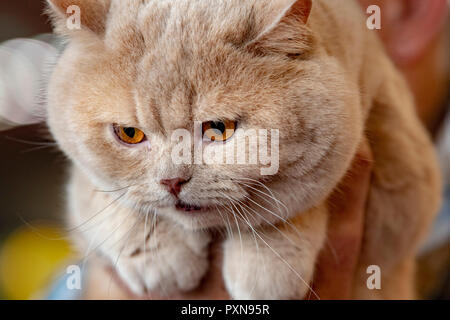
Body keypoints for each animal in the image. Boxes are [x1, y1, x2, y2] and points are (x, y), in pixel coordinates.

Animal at [44, 0, 442, 300]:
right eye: (129, 134)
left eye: (219, 129)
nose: (172, 181)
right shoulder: (84, 182)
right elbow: (102, 195)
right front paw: (158, 257)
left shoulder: (402, 176)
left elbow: (284, 204)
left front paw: (267, 265)